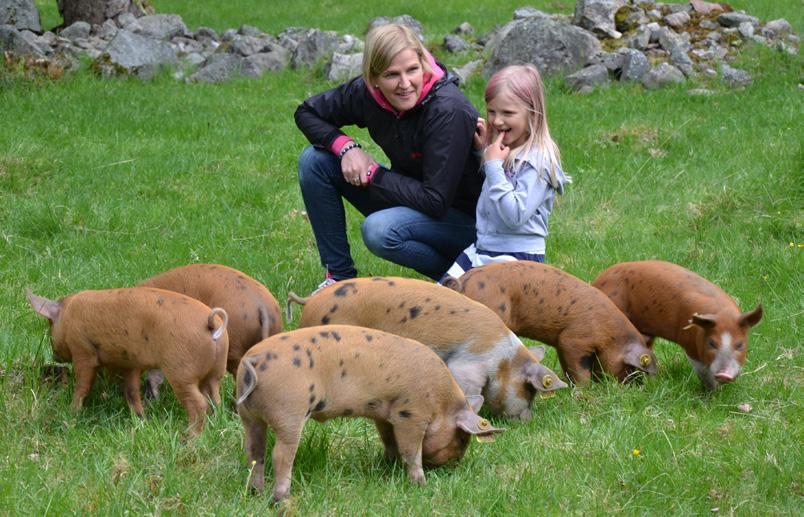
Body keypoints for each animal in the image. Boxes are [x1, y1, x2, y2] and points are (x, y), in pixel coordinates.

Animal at [27, 286, 229, 432]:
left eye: (50, 324)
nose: (55, 355)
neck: (67, 313)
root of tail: (211, 324)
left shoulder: (83, 351)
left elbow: (83, 385)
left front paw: (71, 412)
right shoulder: (130, 363)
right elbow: (131, 391)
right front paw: (141, 419)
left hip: (180, 371)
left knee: (199, 404)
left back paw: (189, 437)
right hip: (215, 372)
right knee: (215, 399)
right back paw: (216, 424)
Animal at [236, 324, 506, 498]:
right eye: (461, 439)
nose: (453, 466)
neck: (441, 400)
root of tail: (254, 359)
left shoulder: (385, 414)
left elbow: (389, 440)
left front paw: (388, 464)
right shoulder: (412, 414)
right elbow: (411, 451)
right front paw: (421, 485)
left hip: (249, 414)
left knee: (254, 451)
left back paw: (255, 492)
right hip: (289, 410)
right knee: (280, 455)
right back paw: (281, 499)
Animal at [288, 276, 564, 422]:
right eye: (529, 390)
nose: (527, 421)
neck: (504, 359)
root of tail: (309, 301)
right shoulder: (467, 365)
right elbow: (470, 389)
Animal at [442, 264, 656, 384]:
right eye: (630, 367)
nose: (638, 384)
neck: (609, 332)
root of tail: (461, 283)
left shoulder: (562, 344)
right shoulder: (573, 339)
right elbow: (579, 369)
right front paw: (584, 389)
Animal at [592, 260, 764, 390]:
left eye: (740, 344)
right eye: (711, 343)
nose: (724, 374)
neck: (722, 313)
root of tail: (597, 281)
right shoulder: (689, 344)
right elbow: (704, 372)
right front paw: (711, 394)